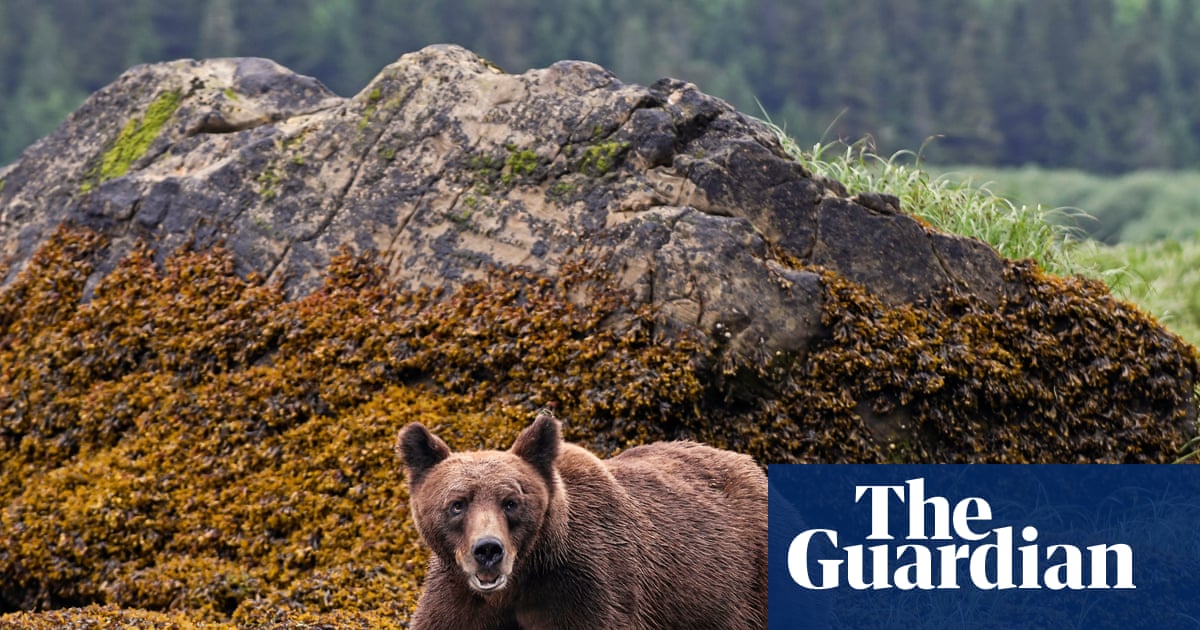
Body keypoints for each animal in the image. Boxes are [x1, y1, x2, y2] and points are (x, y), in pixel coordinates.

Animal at [396, 410, 767, 629]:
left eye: (511, 502)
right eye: (457, 504)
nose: (488, 549)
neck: (517, 584)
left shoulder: (586, 588)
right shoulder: (459, 598)